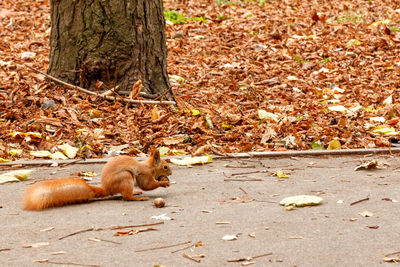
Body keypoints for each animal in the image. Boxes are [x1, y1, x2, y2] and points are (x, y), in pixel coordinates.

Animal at [22, 150, 171, 210]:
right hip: (125, 177)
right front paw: (164, 182)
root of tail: (107, 188)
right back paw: (138, 198)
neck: (149, 167)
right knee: (126, 197)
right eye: (165, 166)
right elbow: (147, 185)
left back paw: (136, 193)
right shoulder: (145, 174)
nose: (171, 172)